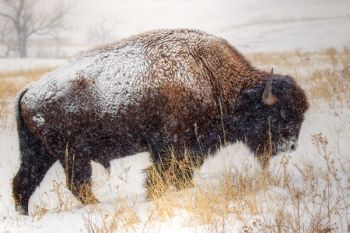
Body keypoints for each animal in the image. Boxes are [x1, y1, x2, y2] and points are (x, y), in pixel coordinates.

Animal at [11, 29, 306, 215]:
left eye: (301, 114)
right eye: (278, 114)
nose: (290, 145)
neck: (209, 75)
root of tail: (29, 90)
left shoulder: (189, 149)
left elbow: (179, 174)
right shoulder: (171, 146)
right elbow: (164, 174)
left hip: (39, 154)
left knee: (23, 183)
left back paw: (24, 215)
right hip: (71, 155)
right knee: (77, 184)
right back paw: (97, 206)